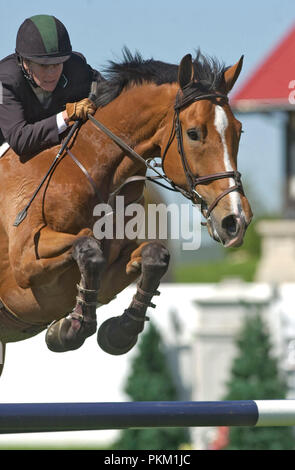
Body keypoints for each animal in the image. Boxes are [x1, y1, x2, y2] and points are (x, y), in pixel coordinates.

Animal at [0, 49, 252, 376]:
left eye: (239, 130)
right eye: (194, 133)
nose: (236, 220)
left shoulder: (113, 270)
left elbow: (154, 256)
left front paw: (119, 332)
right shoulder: (25, 262)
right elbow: (88, 245)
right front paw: (70, 329)